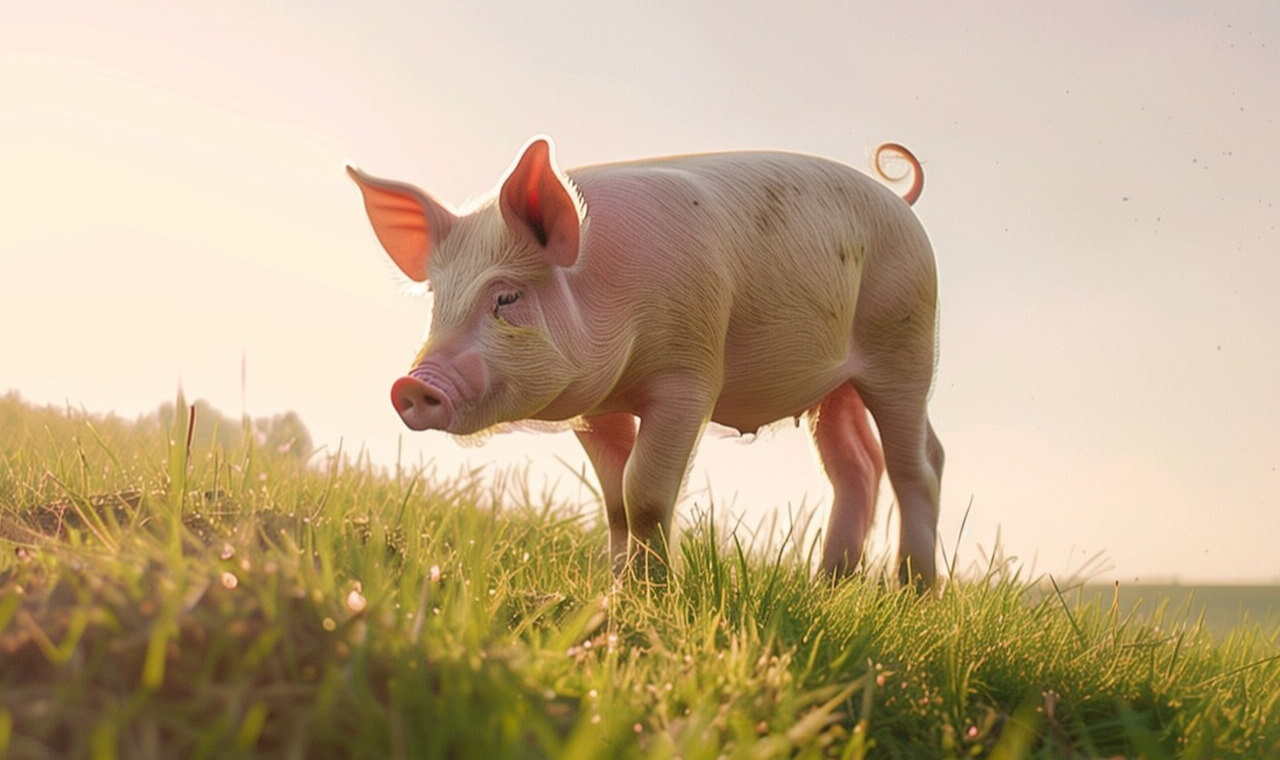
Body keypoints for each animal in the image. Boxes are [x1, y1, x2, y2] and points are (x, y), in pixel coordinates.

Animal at [348, 137, 943, 585]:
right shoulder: (595, 410)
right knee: (857, 466)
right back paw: (831, 585)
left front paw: (654, 591)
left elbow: (646, 492)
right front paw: (618, 588)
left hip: (906, 344)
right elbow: (615, 502)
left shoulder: (689, 378)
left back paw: (913, 593)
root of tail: (903, 202)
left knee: (918, 463)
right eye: (436, 300)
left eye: (507, 297)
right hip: (835, 386)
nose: (412, 384)